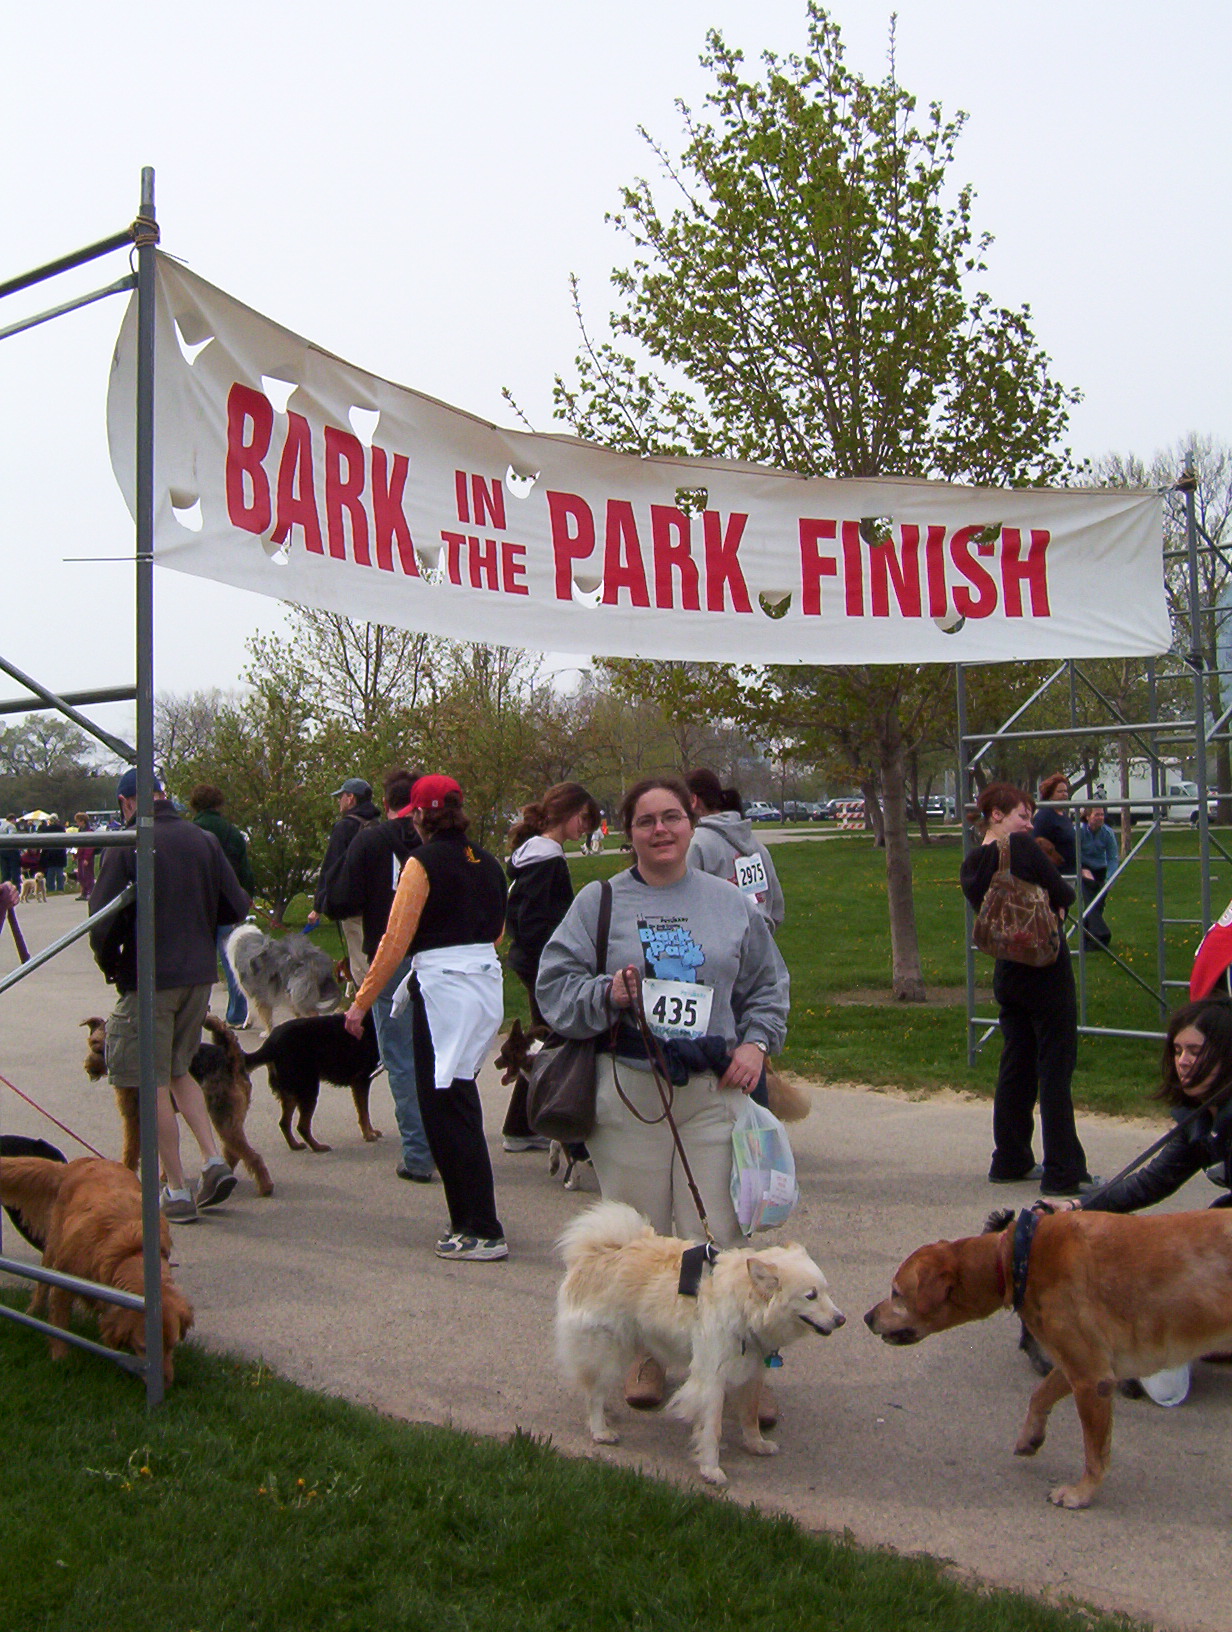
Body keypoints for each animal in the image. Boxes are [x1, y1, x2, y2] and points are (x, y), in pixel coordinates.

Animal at [0, 1155, 194, 1383]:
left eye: (172, 1345)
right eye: (143, 1349)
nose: (167, 1383)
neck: (131, 1252)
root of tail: (78, 1164)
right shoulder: (65, 1278)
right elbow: (59, 1321)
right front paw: (60, 1357)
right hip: (54, 1244)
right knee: (42, 1281)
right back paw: (34, 1310)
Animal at [82, 1005, 274, 1201]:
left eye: (100, 1046)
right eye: (91, 1042)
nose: (89, 1068)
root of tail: (231, 1056)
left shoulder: (133, 1117)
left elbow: (130, 1150)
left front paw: (126, 1170)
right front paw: (165, 1176)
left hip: (222, 1114)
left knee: (251, 1155)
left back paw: (264, 1187)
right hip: (231, 1115)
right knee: (234, 1150)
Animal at [558, 1194, 848, 1488]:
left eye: (826, 1292)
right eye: (811, 1296)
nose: (841, 1319)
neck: (744, 1305)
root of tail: (596, 1250)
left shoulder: (752, 1372)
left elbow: (750, 1415)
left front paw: (756, 1444)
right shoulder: (712, 1379)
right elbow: (712, 1429)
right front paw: (711, 1468)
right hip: (610, 1351)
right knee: (594, 1392)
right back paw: (600, 1429)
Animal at [861, 1207, 1232, 1507]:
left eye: (896, 1292)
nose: (867, 1317)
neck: (1014, 1260)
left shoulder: (1092, 1378)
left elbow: (1095, 1452)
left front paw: (1082, 1493)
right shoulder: (1077, 1365)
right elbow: (1039, 1395)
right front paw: (1031, 1437)